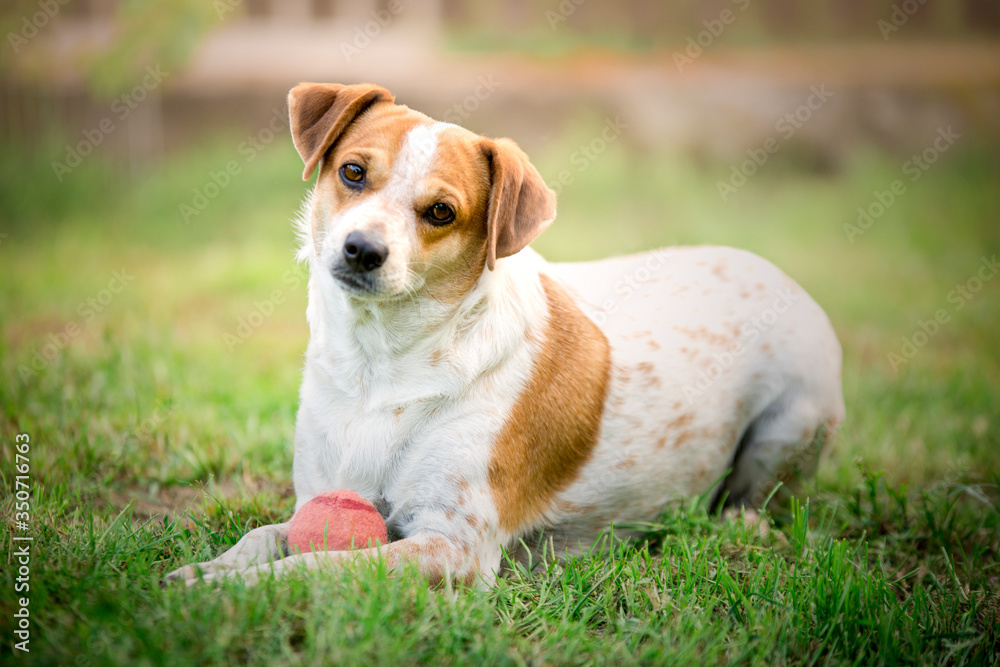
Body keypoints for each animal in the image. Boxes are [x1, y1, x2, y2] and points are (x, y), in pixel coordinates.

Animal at [170, 83, 844, 588]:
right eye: (353, 172)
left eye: (441, 212)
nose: (362, 250)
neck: (380, 367)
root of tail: (772, 269)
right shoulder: (322, 499)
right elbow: (265, 537)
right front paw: (208, 570)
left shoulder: (453, 547)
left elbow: (315, 567)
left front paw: (231, 591)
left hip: (795, 420)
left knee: (757, 500)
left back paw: (740, 526)